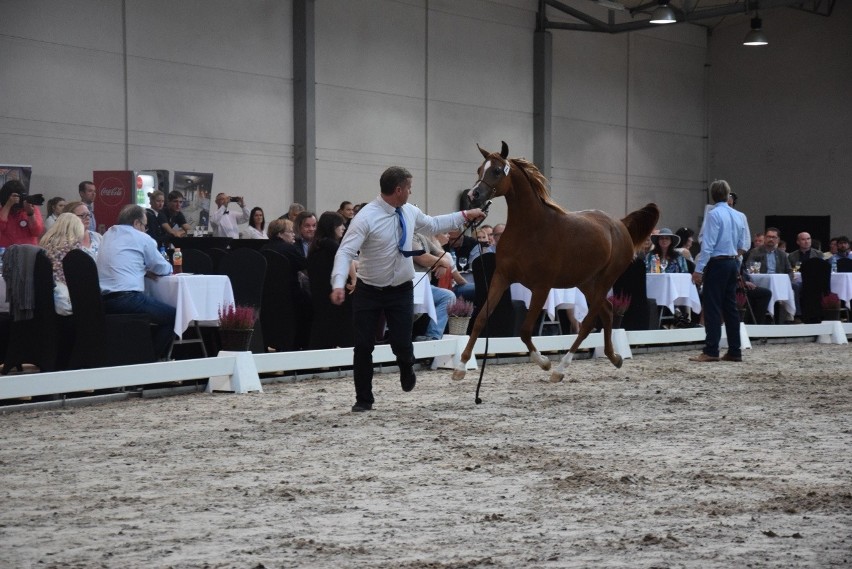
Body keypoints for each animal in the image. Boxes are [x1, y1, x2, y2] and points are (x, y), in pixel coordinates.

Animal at [452, 142, 660, 382]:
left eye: (496, 170)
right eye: (479, 169)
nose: (473, 195)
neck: (531, 229)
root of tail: (620, 225)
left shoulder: (541, 287)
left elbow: (525, 330)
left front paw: (544, 363)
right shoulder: (501, 277)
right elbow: (479, 320)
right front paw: (460, 367)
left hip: (606, 280)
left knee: (588, 323)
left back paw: (560, 368)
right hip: (587, 282)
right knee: (607, 313)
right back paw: (614, 357)